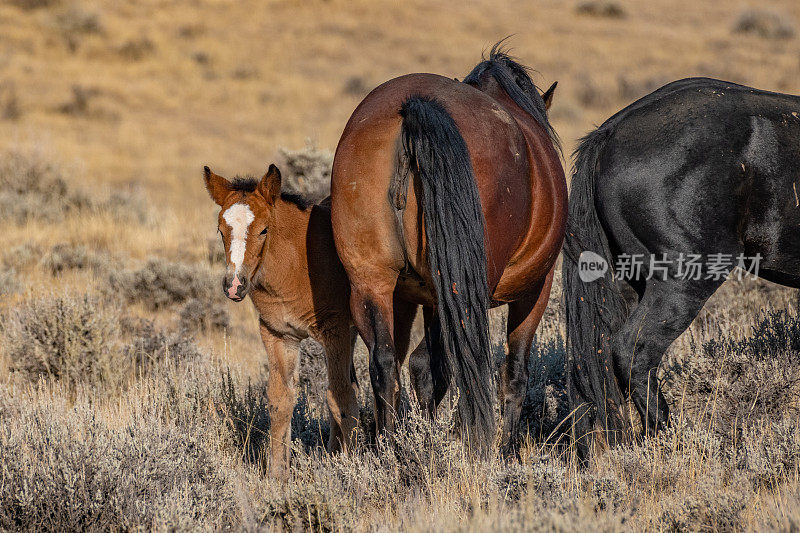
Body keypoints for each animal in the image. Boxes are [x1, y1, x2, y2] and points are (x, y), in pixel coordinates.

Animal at [205, 164, 418, 476]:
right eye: (221, 230)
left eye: (264, 229)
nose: (234, 286)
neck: (298, 263)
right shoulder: (278, 335)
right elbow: (280, 400)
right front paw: (277, 475)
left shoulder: (335, 332)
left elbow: (341, 398)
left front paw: (348, 468)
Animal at [328, 46, 564, 454]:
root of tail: (415, 107)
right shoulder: (537, 288)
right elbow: (515, 371)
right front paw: (505, 448)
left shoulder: (408, 297)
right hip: (457, 290)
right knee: (449, 363)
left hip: (371, 282)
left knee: (386, 363)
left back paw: (390, 448)